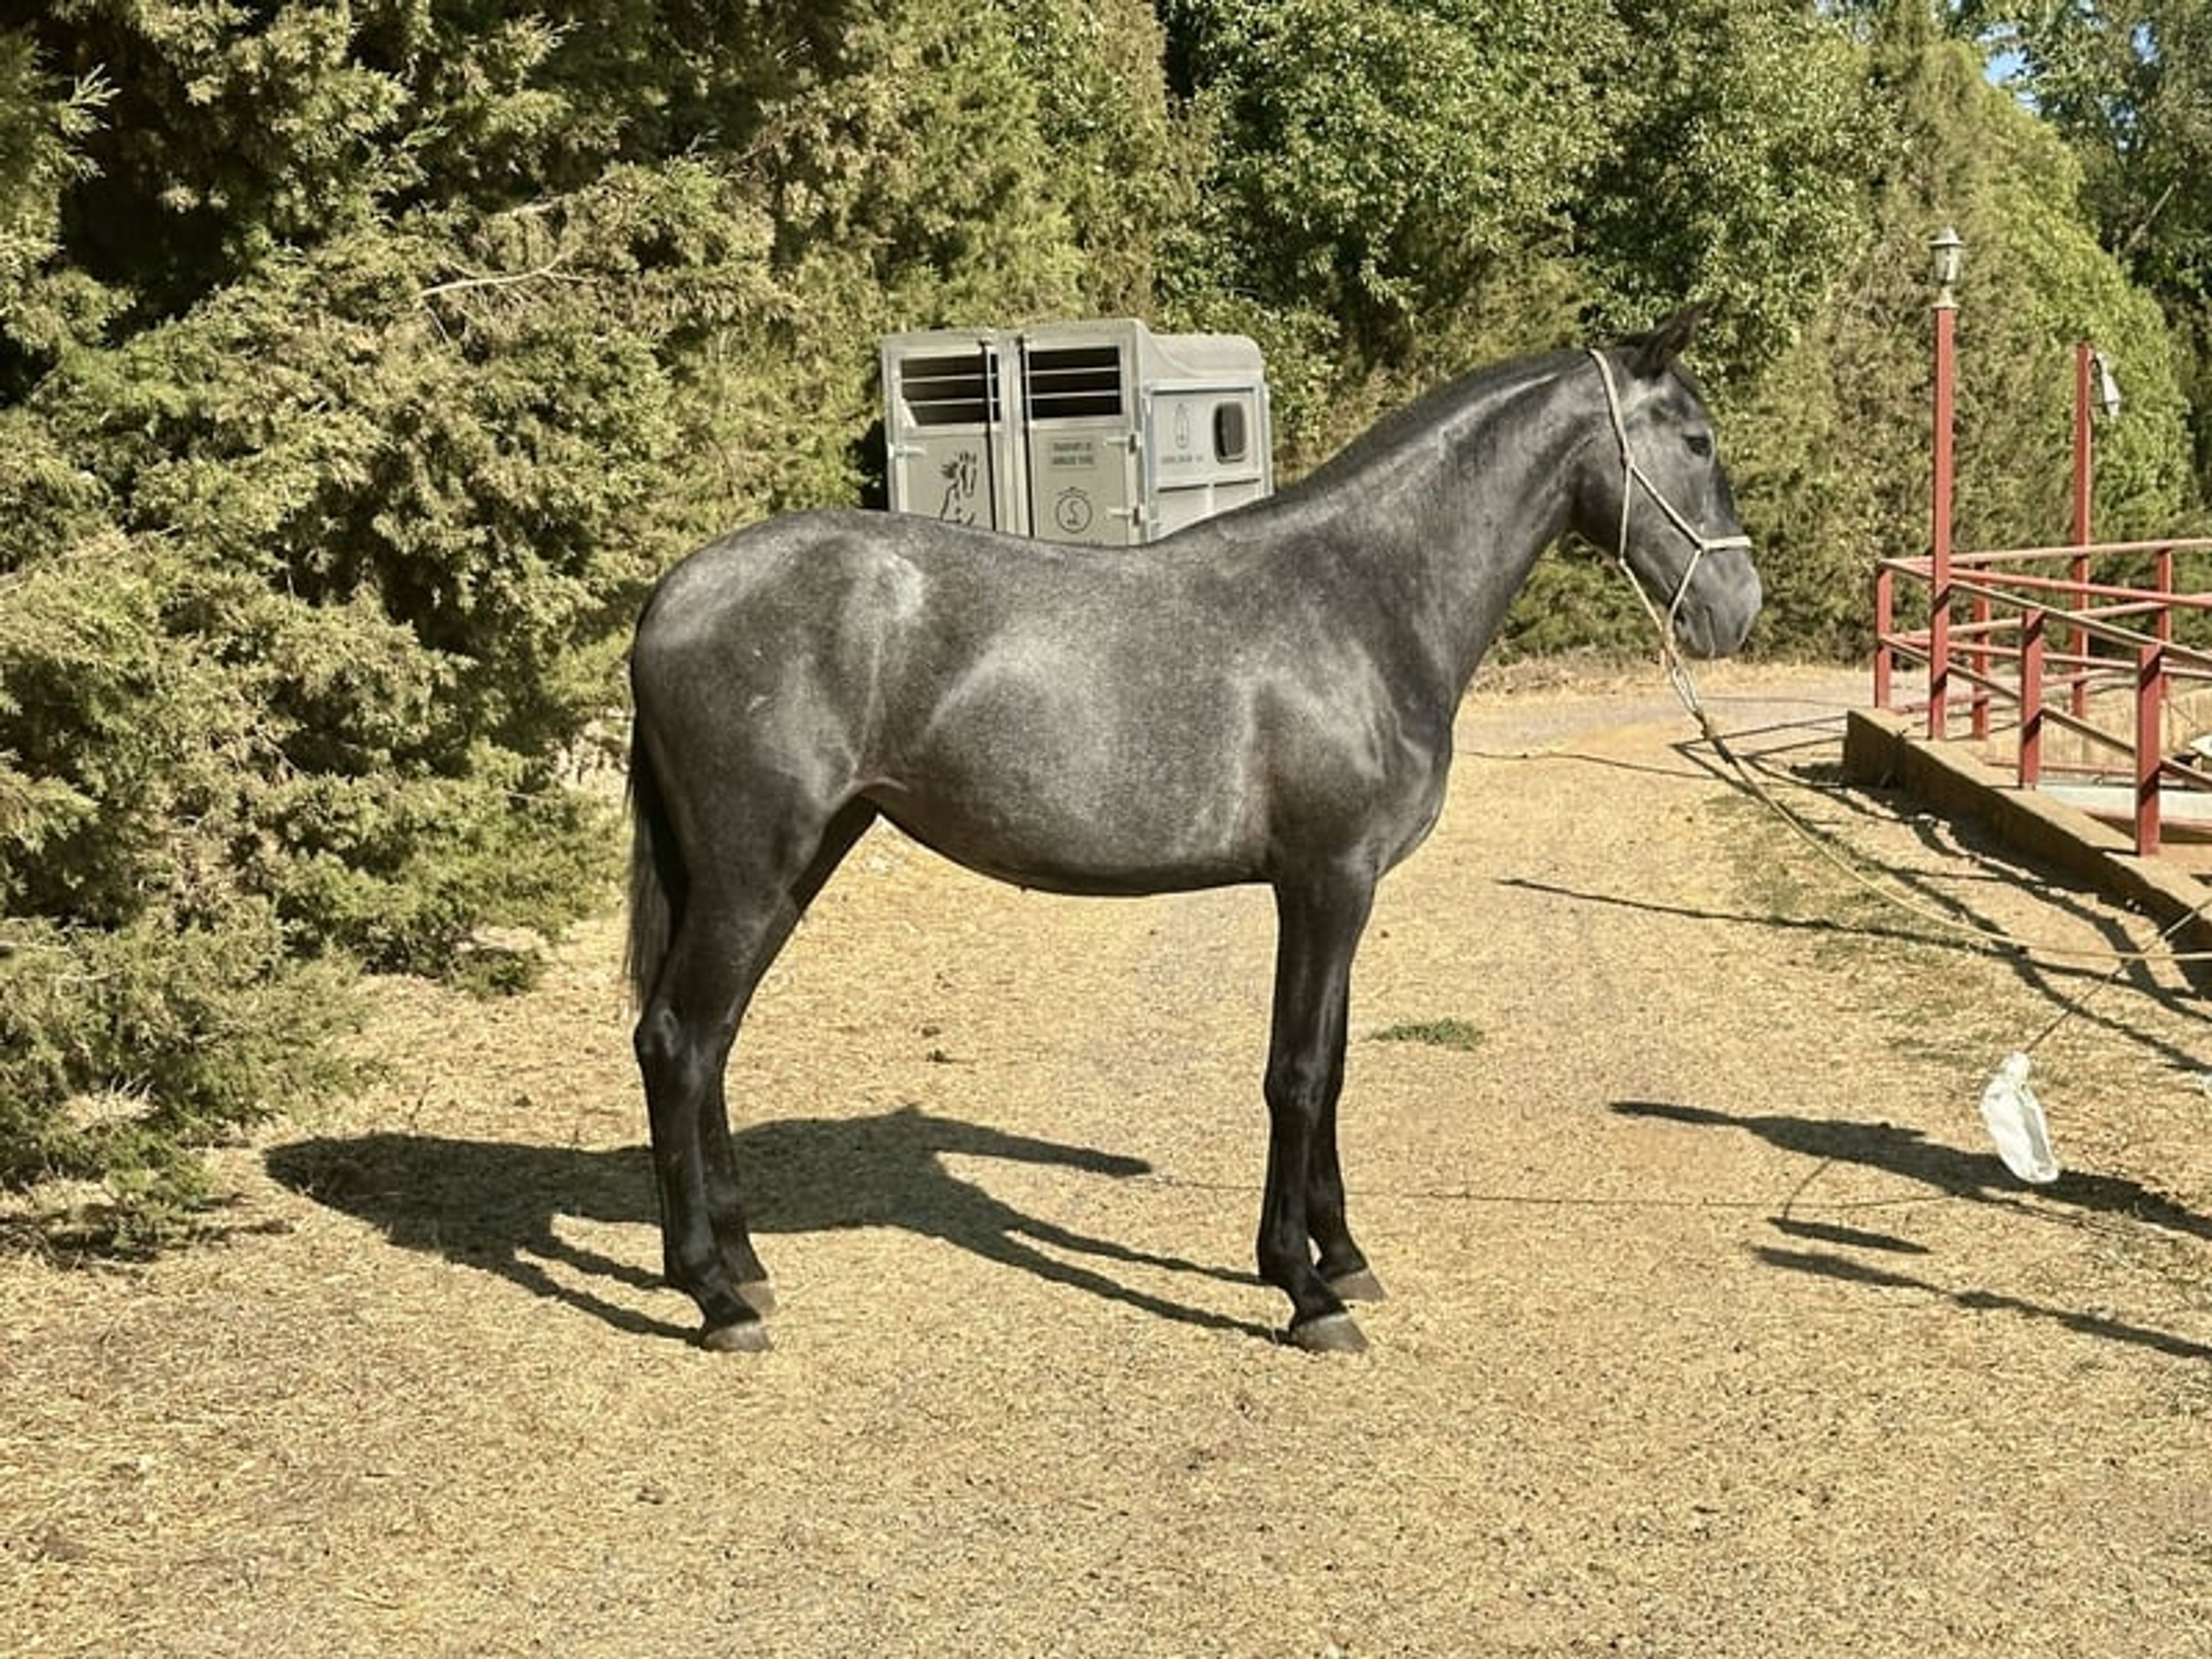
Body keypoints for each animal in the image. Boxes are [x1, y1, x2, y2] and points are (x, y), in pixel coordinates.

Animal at [624, 306, 1762, 1354]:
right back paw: (714, 1296)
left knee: (711, 1041)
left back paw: (747, 1264)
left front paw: (1345, 1260)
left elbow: (1332, 1067)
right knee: (677, 1038)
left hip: (795, 864)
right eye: (1697, 441)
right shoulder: (1326, 881)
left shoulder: (1341, 891)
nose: (1737, 608)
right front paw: (1302, 1290)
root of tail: (672, 596)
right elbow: (1297, 1074)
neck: (1360, 599)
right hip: (751, 872)